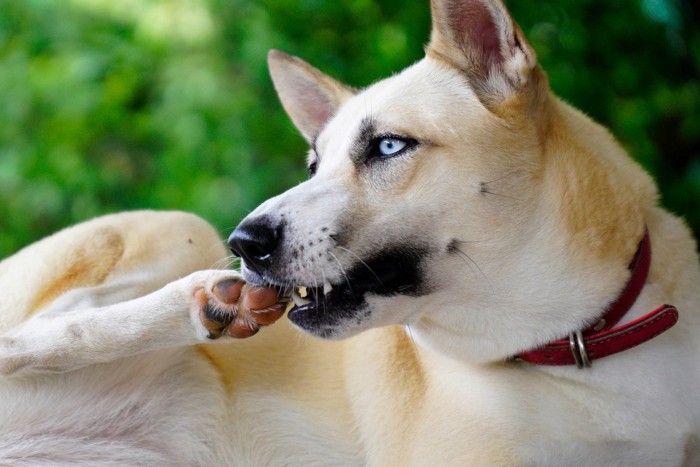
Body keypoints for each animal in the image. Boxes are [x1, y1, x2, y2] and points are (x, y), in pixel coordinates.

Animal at [1, 0, 700, 466]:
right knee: (23, 336)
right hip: (183, 228)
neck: (583, 347)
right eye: (314, 166)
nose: (246, 243)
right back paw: (204, 303)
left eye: (389, 146)